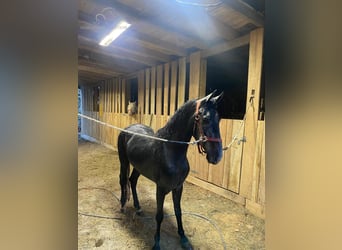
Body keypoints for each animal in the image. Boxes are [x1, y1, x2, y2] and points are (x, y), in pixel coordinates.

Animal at [117, 91, 224, 249]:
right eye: (205, 118)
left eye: (219, 118)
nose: (217, 156)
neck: (171, 151)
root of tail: (129, 128)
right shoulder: (160, 189)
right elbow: (159, 216)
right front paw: (156, 243)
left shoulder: (178, 187)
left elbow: (178, 211)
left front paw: (184, 238)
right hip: (124, 162)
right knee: (123, 180)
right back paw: (123, 205)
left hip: (138, 167)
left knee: (132, 181)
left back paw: (138, 207)